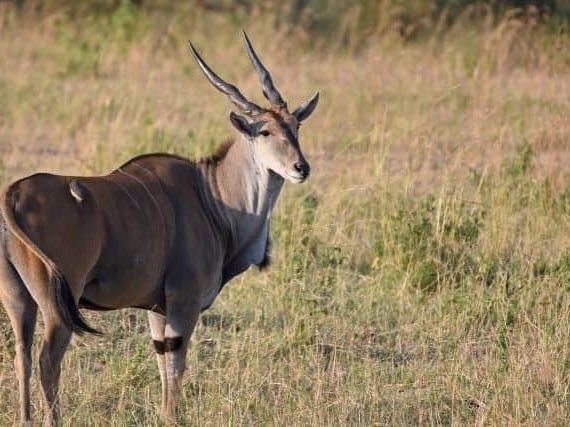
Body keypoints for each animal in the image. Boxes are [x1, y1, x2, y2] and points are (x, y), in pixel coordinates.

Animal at [0, 31, 320, 426]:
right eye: (265, 131)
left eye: (296, 126)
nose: (301, 167)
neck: (211, 195)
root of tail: (13, 195)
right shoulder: (184, 300)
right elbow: (176, 362)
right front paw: (172, 416)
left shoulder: (157, 306)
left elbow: (162, 360)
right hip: (58, 302)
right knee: (48, 361)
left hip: (19, 299)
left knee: (22, 356)